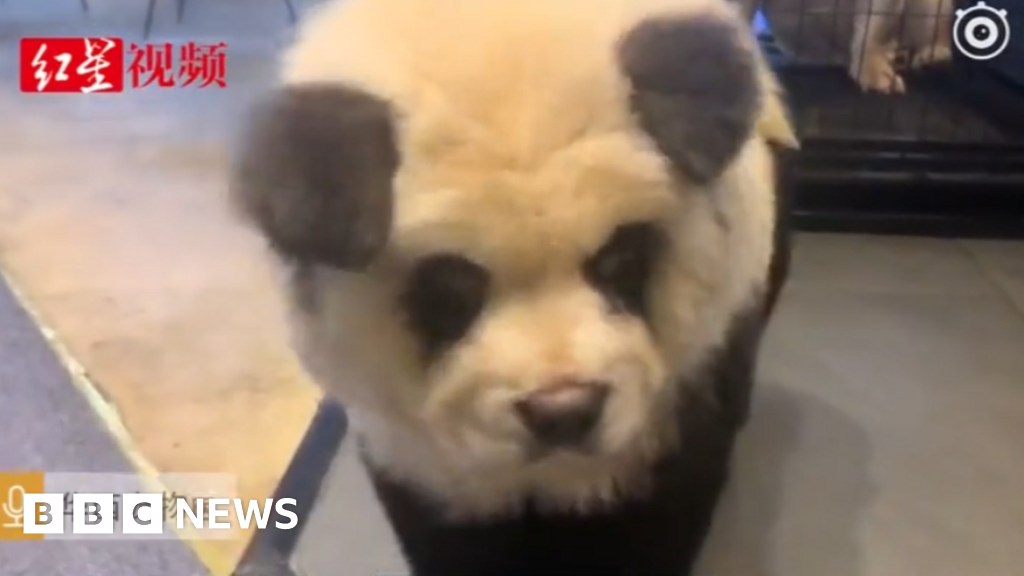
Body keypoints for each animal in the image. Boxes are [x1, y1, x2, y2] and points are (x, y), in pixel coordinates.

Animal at [231, 0, 798, 573]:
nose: (564, 411)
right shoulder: (412, 446)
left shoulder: (671, 409)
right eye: (452, 290)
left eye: (617, 259)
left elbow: (658, 514)